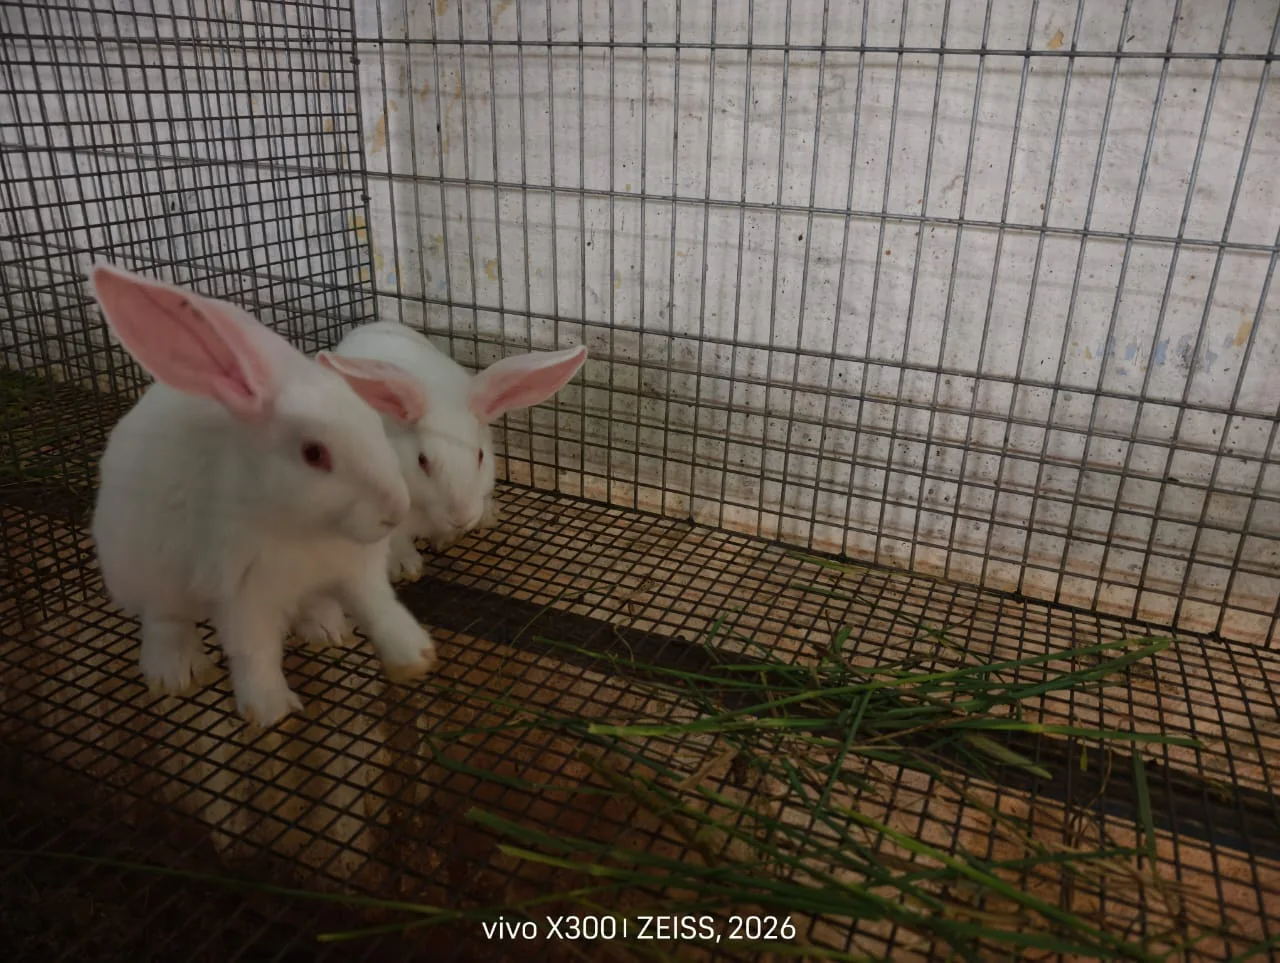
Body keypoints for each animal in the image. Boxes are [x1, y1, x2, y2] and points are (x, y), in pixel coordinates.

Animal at [88, 263, 438, 728]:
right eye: (314, 454)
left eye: (372, 422)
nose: (396, 510)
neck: (305, 529)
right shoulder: (241, 594)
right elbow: (253, 652)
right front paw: (270, 713)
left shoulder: (357, 572)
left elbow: (382, 610)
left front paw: (417, 658)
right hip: (145, 571)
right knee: (165, 620)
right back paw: (175, 673)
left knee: (312, 605)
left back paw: (327, 629)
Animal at [313, 320, 587, 583]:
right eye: (422, 460)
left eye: (480, 456)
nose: (460, 517)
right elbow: (393, 543)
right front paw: (405, 567)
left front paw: (448, 538)